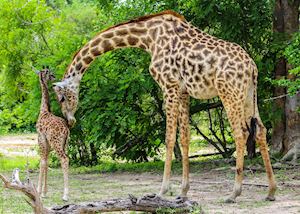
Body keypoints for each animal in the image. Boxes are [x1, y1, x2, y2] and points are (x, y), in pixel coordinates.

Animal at [35, 67, 70, 201]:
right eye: (50, 74)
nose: (54, 77)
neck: (44, 110)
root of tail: (66, 129)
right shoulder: (47, 144)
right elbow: (46, 162)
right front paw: (44, 192)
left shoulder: (41, 139)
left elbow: (42, 162)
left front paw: (38, 191)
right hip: (64, 144)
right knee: (66, 158)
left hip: (57, 143)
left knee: (65, 159)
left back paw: (65, 195)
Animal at [54, 10, 276, 202]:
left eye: (62, 98)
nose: (70, 121)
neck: (147, 37)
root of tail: (252, 67)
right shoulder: (184, 91)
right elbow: (184, 138)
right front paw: (183, 191)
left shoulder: (168, 86)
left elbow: (169, 138)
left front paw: (162, 190)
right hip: (249, 95)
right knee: (260, 130)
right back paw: (271, 191)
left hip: (229, 93)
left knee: (241, 133)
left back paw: (234, 193)